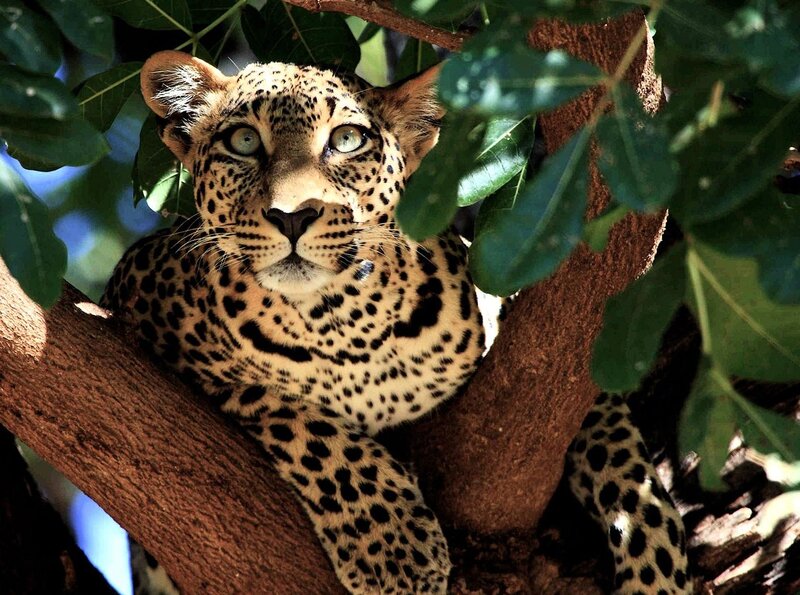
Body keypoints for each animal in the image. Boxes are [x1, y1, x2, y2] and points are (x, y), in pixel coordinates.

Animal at [102, 50, 691, 594]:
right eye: (244, 141)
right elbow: (304, 425)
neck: (342, 324)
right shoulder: (133, 298)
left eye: (346, 140)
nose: (292, 216)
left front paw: (658, 574)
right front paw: (397, 548)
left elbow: (621, 458)